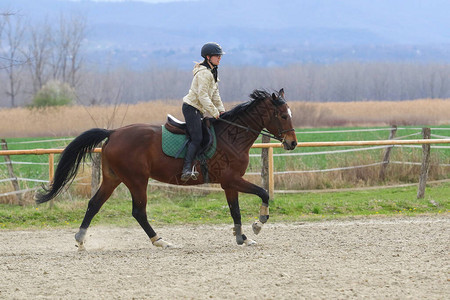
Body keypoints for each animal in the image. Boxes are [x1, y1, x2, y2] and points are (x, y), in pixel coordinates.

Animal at [37, 88, 298, 248]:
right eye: (283, 116)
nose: (292, 143)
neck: (233, 135)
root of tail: (113, 133)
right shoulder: (231, 179)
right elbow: (263, 193)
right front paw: (258, 224)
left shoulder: (229, 184)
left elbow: (235, 211)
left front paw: (242, 237)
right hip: (137, 180)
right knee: (138, 212)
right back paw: (160, 240)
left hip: (113, 178)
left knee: (94, 204)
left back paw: (81, 239)